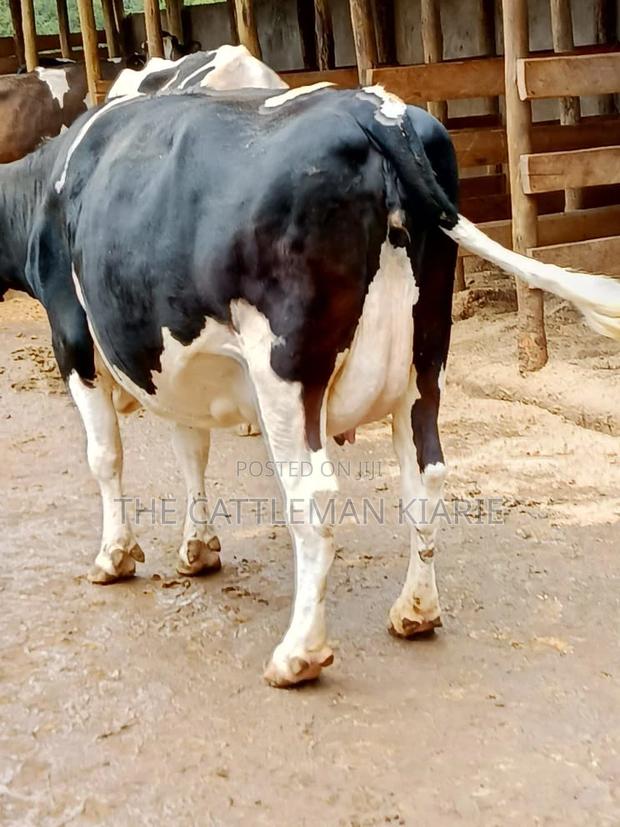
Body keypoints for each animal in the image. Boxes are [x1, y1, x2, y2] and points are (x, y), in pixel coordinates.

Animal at [1, 85, 618, 688]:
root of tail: (377, 109)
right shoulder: (171, 361)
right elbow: (190, 449)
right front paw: (197, 549)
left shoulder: (71, 333)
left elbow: (106, 456)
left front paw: (115, 556)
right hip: (427, 355)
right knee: (426, 473)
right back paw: (415, 611)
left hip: (287, 366)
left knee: (314, 495)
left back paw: (299, 653)